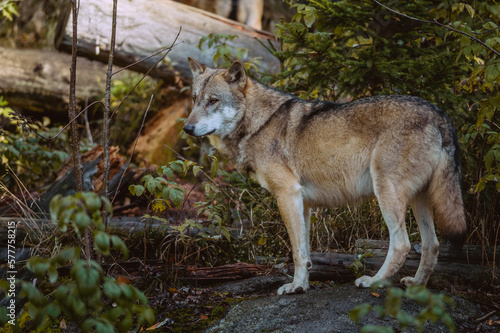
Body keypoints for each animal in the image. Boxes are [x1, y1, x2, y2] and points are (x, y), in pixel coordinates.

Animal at [185, 58, 468, 294]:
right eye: (195, 99)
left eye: (213, 101)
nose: (187, 128)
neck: (258, 123)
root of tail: (440, 114)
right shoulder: (302, 203)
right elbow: (305, 251)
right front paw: (303, 285)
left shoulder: (287, 195)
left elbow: (296, 252)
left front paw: (294, 288)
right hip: (418, 200)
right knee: (432, 244)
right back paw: (417, 284)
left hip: (387, 193)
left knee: (403, 245)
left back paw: (374, 281)